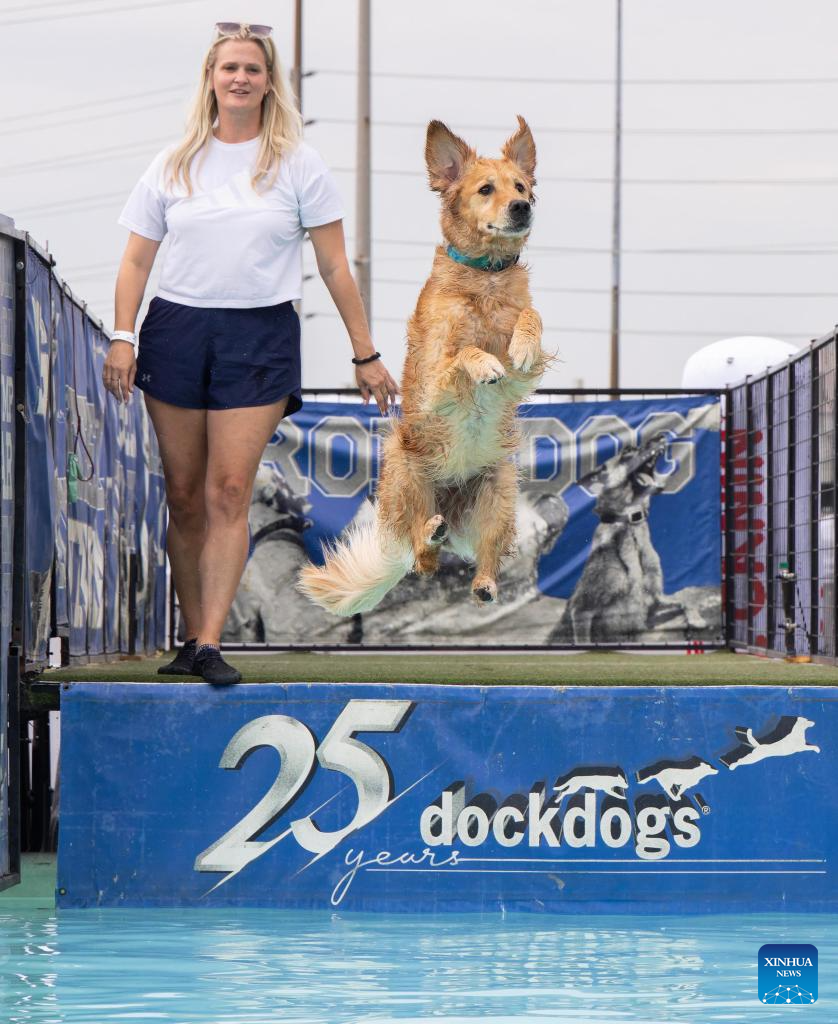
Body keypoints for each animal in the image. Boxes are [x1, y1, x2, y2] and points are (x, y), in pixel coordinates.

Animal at [299, 117, 548, 614]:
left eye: (522, 186)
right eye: (486, 188)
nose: (522, 207)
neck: (485, 276)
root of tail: (448, 506)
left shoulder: (522, 370)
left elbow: (531, 317)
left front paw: (524, 343)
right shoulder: (434, 378)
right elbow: (461, 356)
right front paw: (483, 364)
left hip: (498, 490)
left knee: (476, 556)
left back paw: (483, 583)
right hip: (408, 476)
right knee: (420, 556)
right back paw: (430, 534)